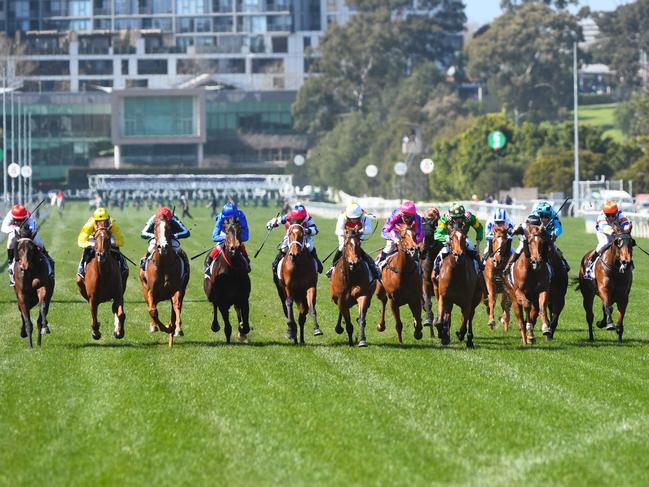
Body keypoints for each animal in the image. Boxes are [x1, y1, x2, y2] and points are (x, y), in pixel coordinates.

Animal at [139, 215, 190, 348]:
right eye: (155, 228)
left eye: (169, 228)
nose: (163, 246)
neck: (164, 263)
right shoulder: (151, 291)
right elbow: (152, 310)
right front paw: (164, 328)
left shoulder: (176, 289)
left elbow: (176, 307)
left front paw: (175, 329)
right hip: (145, 289)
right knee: (152, 307)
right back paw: (154, 326)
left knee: (176, 306)